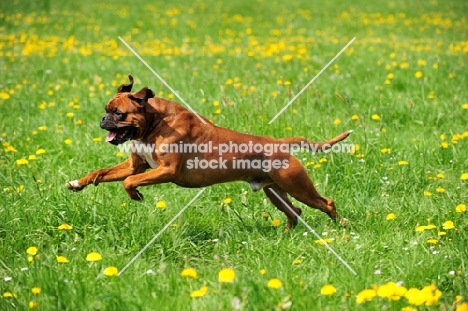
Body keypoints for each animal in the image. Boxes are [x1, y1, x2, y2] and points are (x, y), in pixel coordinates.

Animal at [66, 74, 352, 228]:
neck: (154, 123)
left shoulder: (166, 171)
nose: (103, 119)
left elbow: (128, 181)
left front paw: (135, 194)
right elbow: (101, 173)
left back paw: (343, 226)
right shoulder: (137, 166)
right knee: (295, 213)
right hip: (275, 191)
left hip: (297, 186)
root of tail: (279, 142)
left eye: (118, 113)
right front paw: (77, 183)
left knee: (325, 203)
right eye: (107, 110)